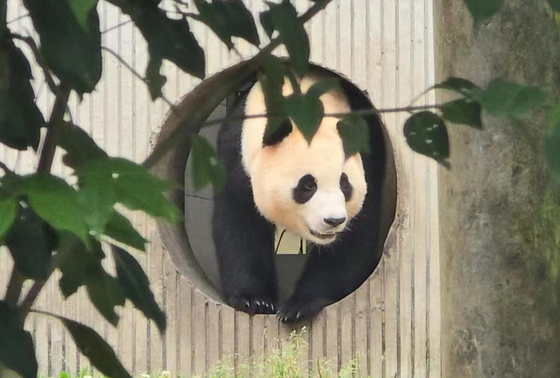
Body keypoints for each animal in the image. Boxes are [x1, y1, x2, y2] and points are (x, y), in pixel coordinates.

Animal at [212, 64, 388, 322]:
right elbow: (239, 223)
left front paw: (299, 306)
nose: (333, 220)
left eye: (345, 184)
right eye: (308, 185)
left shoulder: (368, 155)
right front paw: (254, 299)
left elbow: (354, 239)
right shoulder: (237, 153)